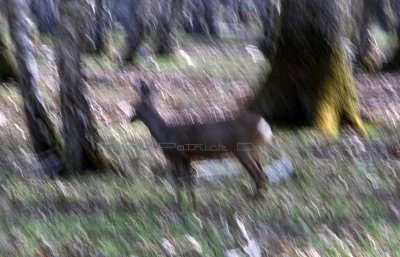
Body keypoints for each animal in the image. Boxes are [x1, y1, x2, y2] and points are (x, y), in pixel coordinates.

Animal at [130, 81, 274, 207]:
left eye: (134, 106)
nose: (130, 118)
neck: (164, 133)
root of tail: (262, 123)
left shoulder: (176, 155)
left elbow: (180, 182)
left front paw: (180, 205)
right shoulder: (187, 158)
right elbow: (189, 182)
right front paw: (193, 205)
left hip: (241, 148)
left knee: (258, 174)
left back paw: (255, 200)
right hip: (252, 149)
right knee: (264, 173)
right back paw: (263, 198)